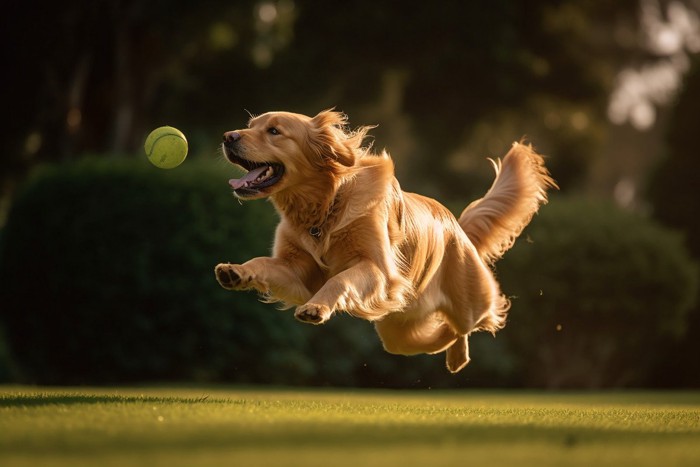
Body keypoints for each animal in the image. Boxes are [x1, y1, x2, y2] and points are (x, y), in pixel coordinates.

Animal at [216, 109, 556, 372]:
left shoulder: (376, 268)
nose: (228, 136)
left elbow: (339, 280)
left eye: (274, 131)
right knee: (440, 336)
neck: (326, 205)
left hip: (471, 302)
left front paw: (317, 308)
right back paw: (455, 359)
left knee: (470, 323)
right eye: (251, 124)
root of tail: (457, 227)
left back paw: (459, 355)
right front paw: (236, 270)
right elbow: (264, 263)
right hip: (397, 334)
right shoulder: (295, 270)